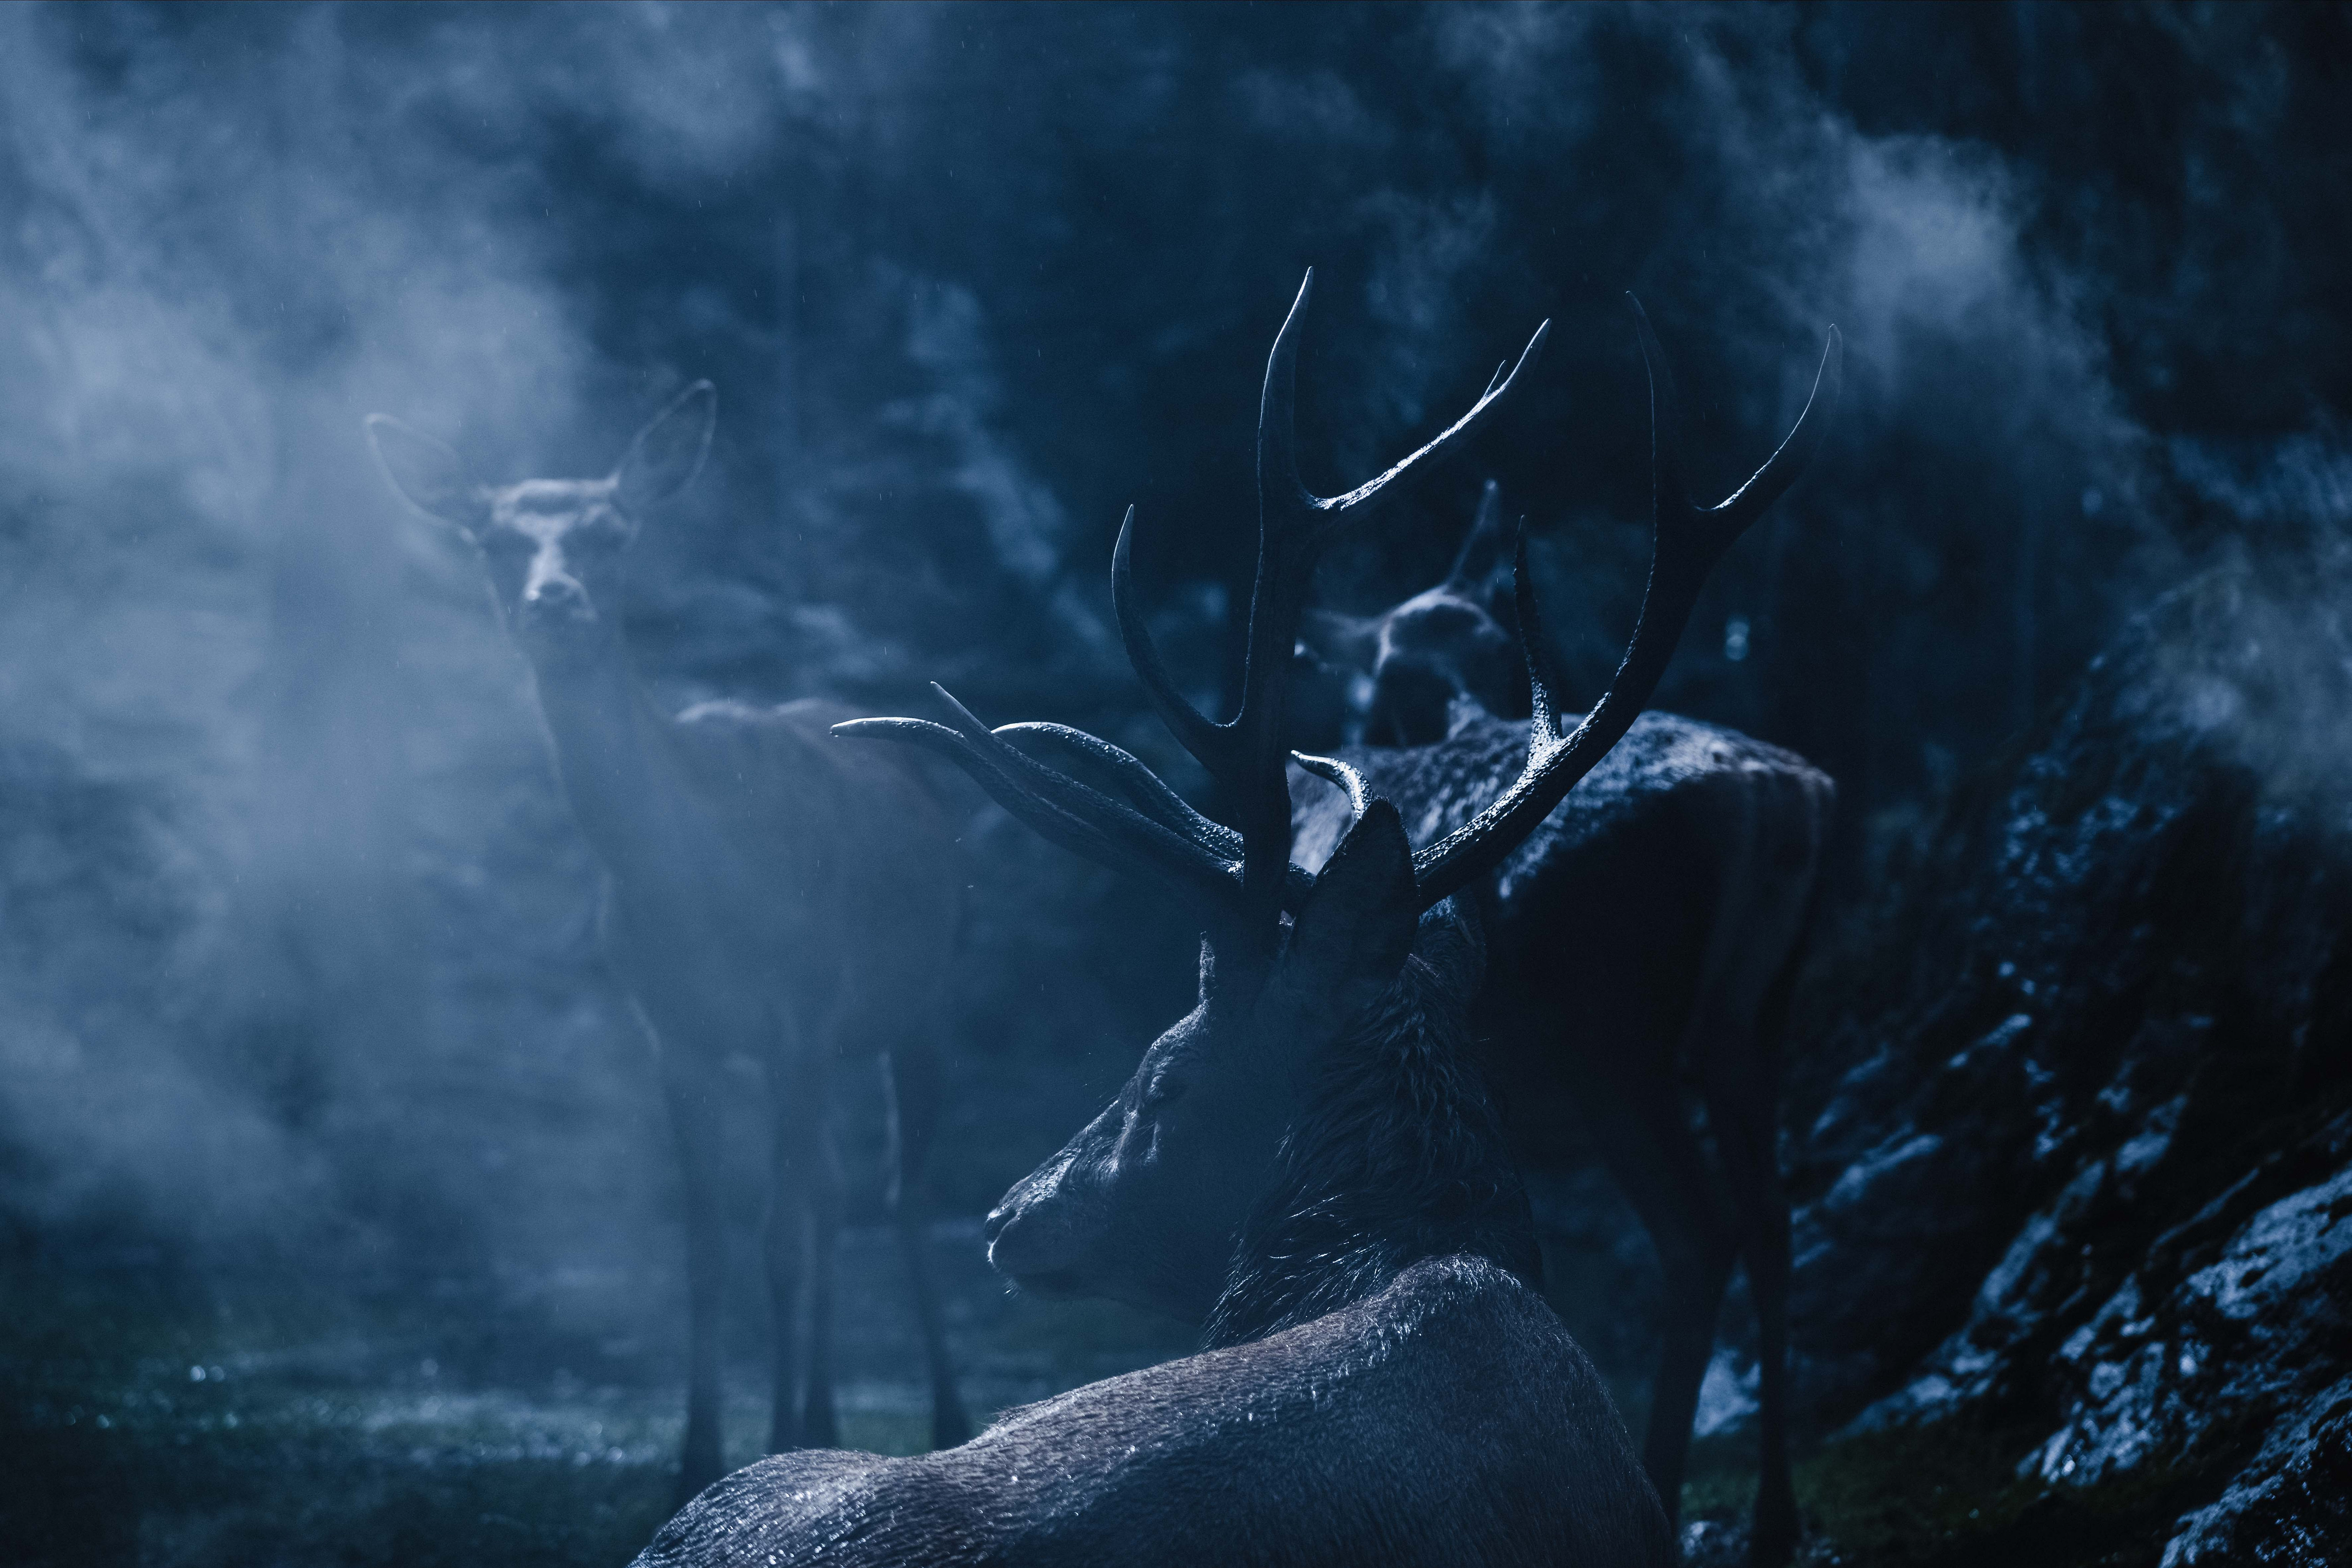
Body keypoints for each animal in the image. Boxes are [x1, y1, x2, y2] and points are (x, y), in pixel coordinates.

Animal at [364, 385, 970, 1505]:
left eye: (612, 533)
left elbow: (774, 1238)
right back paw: (825, 1408)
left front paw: (772, 1443)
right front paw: (697, 1451)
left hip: (929, 991)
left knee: (901, 1196)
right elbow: (705, 1248)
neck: (702, 876)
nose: (555, 600)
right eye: (493, 538)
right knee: (834, 1192)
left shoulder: (804, 1006)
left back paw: (942, 1413)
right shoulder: (677, 1029)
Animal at [1288, 475, 1836, 1563]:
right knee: (1769, 1216)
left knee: (1696, 1230)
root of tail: (1773, 794)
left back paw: (1662, 1491)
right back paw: (1771, 1518)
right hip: (1748, 1029)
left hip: (1613, 1041)